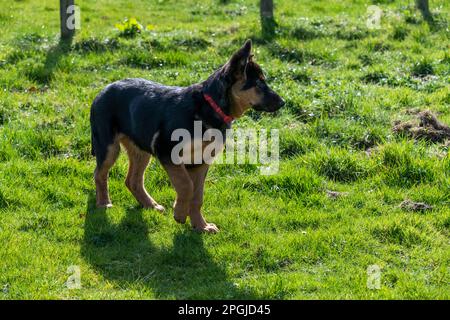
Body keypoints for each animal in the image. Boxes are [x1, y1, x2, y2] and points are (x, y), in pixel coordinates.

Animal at [89, 40, 284, 232]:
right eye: (259, 84)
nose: (283, 103)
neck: (210, 107)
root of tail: (103, 90)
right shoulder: (167, 152)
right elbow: (186, 186)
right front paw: (180, 214)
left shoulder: (201, 162)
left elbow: (197, 196)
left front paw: (201, 226)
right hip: (109, 147)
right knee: (99, 173)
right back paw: (104, 203)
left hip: (141, 149)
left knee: (132, 180)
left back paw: (150, 205)